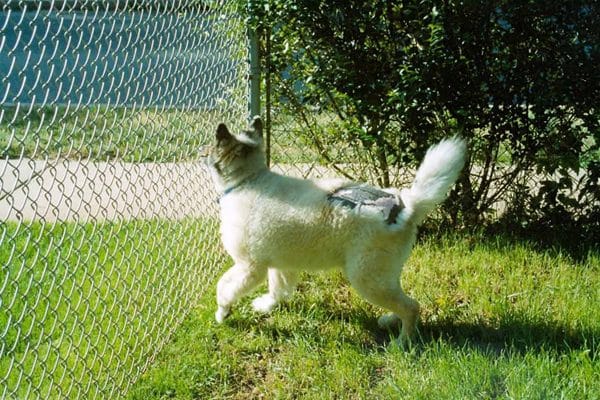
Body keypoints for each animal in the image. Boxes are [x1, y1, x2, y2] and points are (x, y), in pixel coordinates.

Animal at [209, 116, 466, 344]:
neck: (248, 179)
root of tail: (406, 205)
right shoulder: (281, 265)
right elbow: (278, 290)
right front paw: (266, 306)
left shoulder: (250, 268)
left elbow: (223, 287)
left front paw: (222, 313)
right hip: (382, 275)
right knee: (404, 300)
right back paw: (391, 320)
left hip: (367, 279)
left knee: (411, 307)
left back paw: (403, 342)